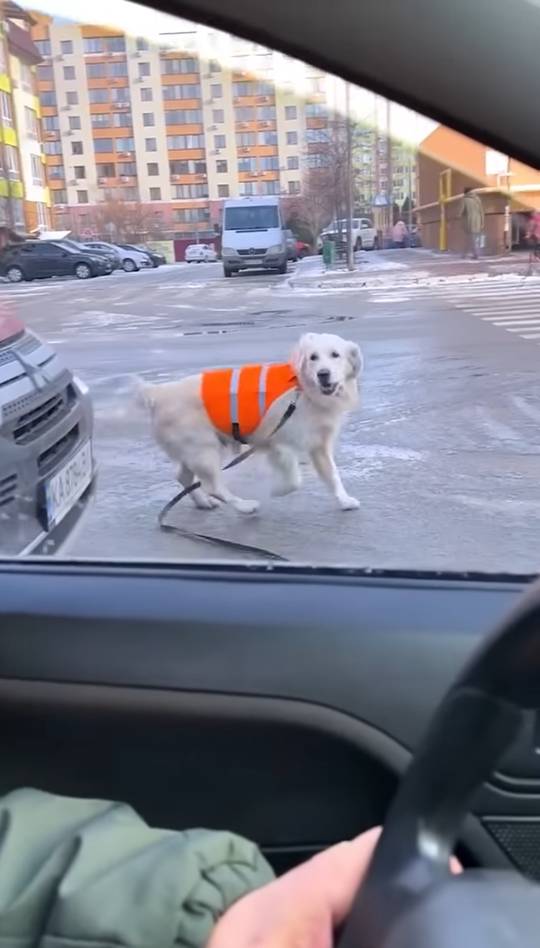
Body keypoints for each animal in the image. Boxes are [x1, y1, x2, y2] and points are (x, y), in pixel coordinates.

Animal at [138, 332, 362, 516]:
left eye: (335, 355)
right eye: (313, 357)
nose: (323, 374)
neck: (304, 391)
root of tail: (157, 394)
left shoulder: (319, 444)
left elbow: (332, 474)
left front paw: (344, 500)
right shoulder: (279, 442)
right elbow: (294, 481)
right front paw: (277, 490)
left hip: (193, 450)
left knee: (183, 477)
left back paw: (203, 502)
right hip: (204, 449)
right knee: (213, 486)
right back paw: (244, 506)